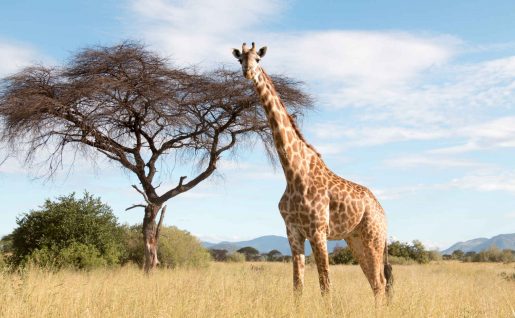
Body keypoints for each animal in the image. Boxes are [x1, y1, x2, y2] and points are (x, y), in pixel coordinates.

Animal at [234, 42, 396, 304]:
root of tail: (383, 212)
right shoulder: (293, 232)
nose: (248, 72)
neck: (293, 173)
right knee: (376, 282)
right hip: (355, 239)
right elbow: (297, 286)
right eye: (240, 60)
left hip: (374, 237)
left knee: (380, 282)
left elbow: (325, 286)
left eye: (258, 58)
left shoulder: (318, 231)